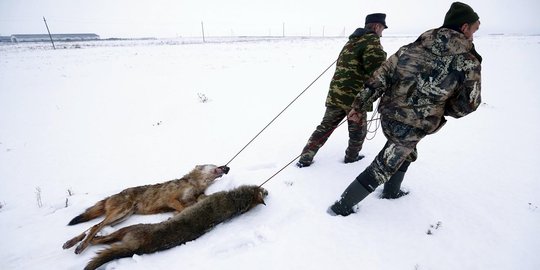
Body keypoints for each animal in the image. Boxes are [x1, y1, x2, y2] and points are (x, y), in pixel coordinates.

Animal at [62, 163, 229, 254]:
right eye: (215, 165)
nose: (227, 167)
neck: (194, 184)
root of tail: (111, 196)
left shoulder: (186, 202)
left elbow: (184, 209)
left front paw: (172, 217)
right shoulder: (171, 199)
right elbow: (181, 208)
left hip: (121, 217)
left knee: (92, 228)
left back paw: (71, 243)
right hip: (121, 212)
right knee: (95, 226)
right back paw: (79, 247)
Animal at [83, 185, 266, 270]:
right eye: (263, 190)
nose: (268, 191)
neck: (236, 203)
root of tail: (137, 248)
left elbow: (200, 197)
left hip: (128, 229)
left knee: (101, 239)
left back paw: (92, 240)